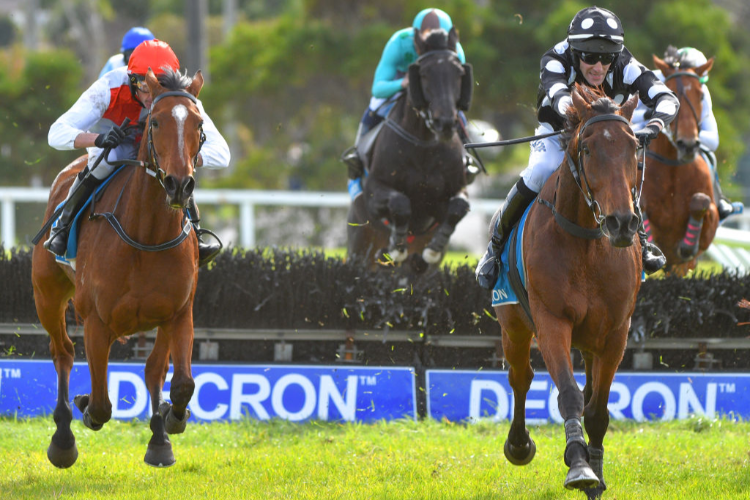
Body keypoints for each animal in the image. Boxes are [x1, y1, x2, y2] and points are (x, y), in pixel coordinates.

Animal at [32, 67, 206, 468]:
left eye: (199, 123)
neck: (146, 235)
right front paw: (83, 407)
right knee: (63, 353)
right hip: (47, 295)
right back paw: (63, 438)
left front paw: (171, 421)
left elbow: (181, 383)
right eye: (155, 122)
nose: (179, 184)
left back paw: (159, 437)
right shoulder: (96, 319)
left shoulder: (178, 311)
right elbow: (99, 404)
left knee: (154, 369)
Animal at [348, 27, 476, 274]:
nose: (445, 123)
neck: (423, 144)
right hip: (360, 243)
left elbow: (458, 207)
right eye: (424, 74)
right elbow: (400, 203)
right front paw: (396, 246)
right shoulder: (373, 192)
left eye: (458, 74)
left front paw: (433, 248)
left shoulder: (449, 195)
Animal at [496, 85, 644, 496]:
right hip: (513, 322)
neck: (587, 245)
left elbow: (597, 410)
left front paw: (595, 474)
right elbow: (569, 395)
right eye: (589, 149)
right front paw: (579, 466)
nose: (621, 222)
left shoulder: (615, 333)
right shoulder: (551, 321)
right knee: (521, 376)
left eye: (633, 147)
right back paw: (519, 444)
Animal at [640, 51, 724, 278]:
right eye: (673, 93)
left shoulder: (711, 215)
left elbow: (701, 202)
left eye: (701, 95)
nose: (687, 145)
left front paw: (687, 245)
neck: (673, 169)